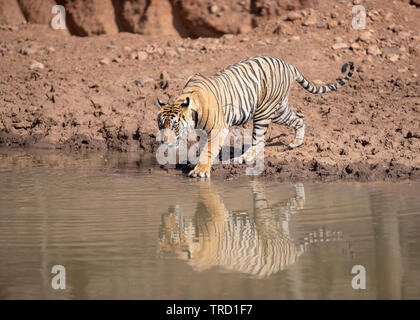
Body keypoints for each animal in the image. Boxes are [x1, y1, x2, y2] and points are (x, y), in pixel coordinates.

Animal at [156, 55, 352, 178]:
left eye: (174, 125)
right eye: (161, 125)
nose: (164, 141)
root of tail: (289, 65)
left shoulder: (218, 128)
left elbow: (209, 149)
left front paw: (201, 170)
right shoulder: (203, 131)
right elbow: (204, 146)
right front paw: (197, 163)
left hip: (263, 112)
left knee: (259, 142)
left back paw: (242, 158)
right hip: (279, 110)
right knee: (299, 118)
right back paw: (295, 143)